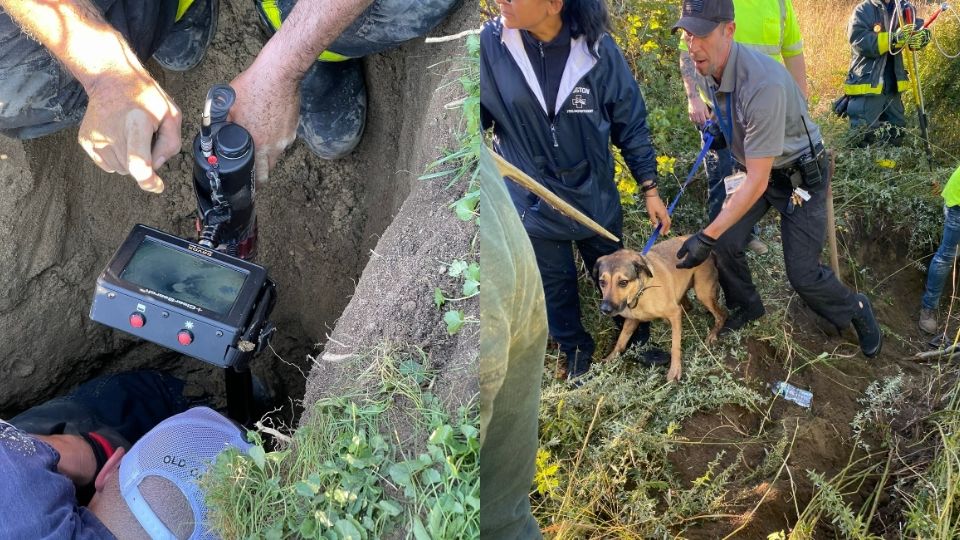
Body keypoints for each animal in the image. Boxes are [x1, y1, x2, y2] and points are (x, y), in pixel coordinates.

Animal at [592, 237, 728, 384]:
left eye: (623, 282)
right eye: (602, 282)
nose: (605, 309)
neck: (642, 292)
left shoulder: (674, 313)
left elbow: (675, 346)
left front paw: (675, 370)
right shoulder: (632, 320)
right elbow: (621, 342)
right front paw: (609, 360)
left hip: (703, 292)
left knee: (722, 315)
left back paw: (713, 335)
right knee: (688, 306)